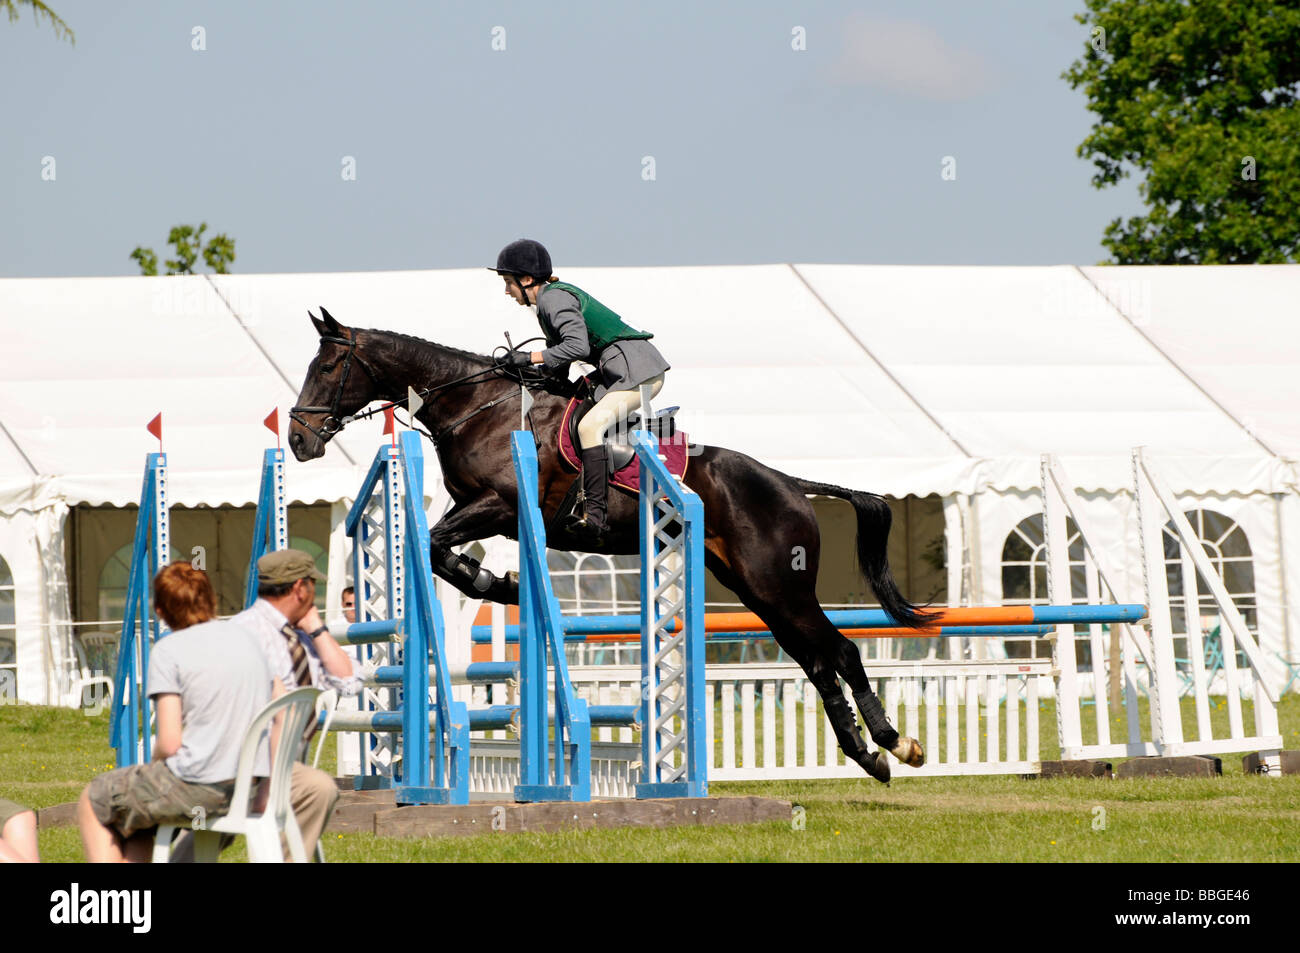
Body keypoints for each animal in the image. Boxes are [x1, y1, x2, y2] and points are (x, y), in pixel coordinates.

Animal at [289, 308, 930, 774]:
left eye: (329, 368)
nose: (298, 439)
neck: (476, 407)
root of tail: (789, 483)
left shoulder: (498, 506)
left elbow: (435, 546)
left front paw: (494, 581)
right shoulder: (483, 511)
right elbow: (436, 549)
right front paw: (498, 581)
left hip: (779, 585)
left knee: (840, 652)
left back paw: (896, 744)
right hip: (757, 591)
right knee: (818, 661)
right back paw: (868, 756)